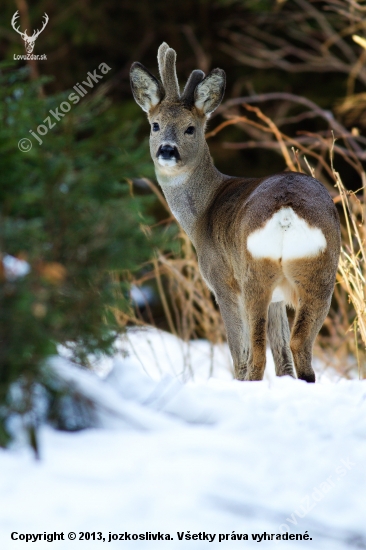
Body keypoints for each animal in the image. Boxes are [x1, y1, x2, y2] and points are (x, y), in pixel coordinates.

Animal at [130, 43, 342, 384]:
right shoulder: (278, 298)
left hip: (252, 273)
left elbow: (239, 351)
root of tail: (286, 213)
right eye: (155, 125)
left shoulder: (221, 280)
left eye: (190, 128)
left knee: (254, 350)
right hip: (320, 270)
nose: (167, 150)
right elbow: (282, 356)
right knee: (298, 343)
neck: (201, 214)